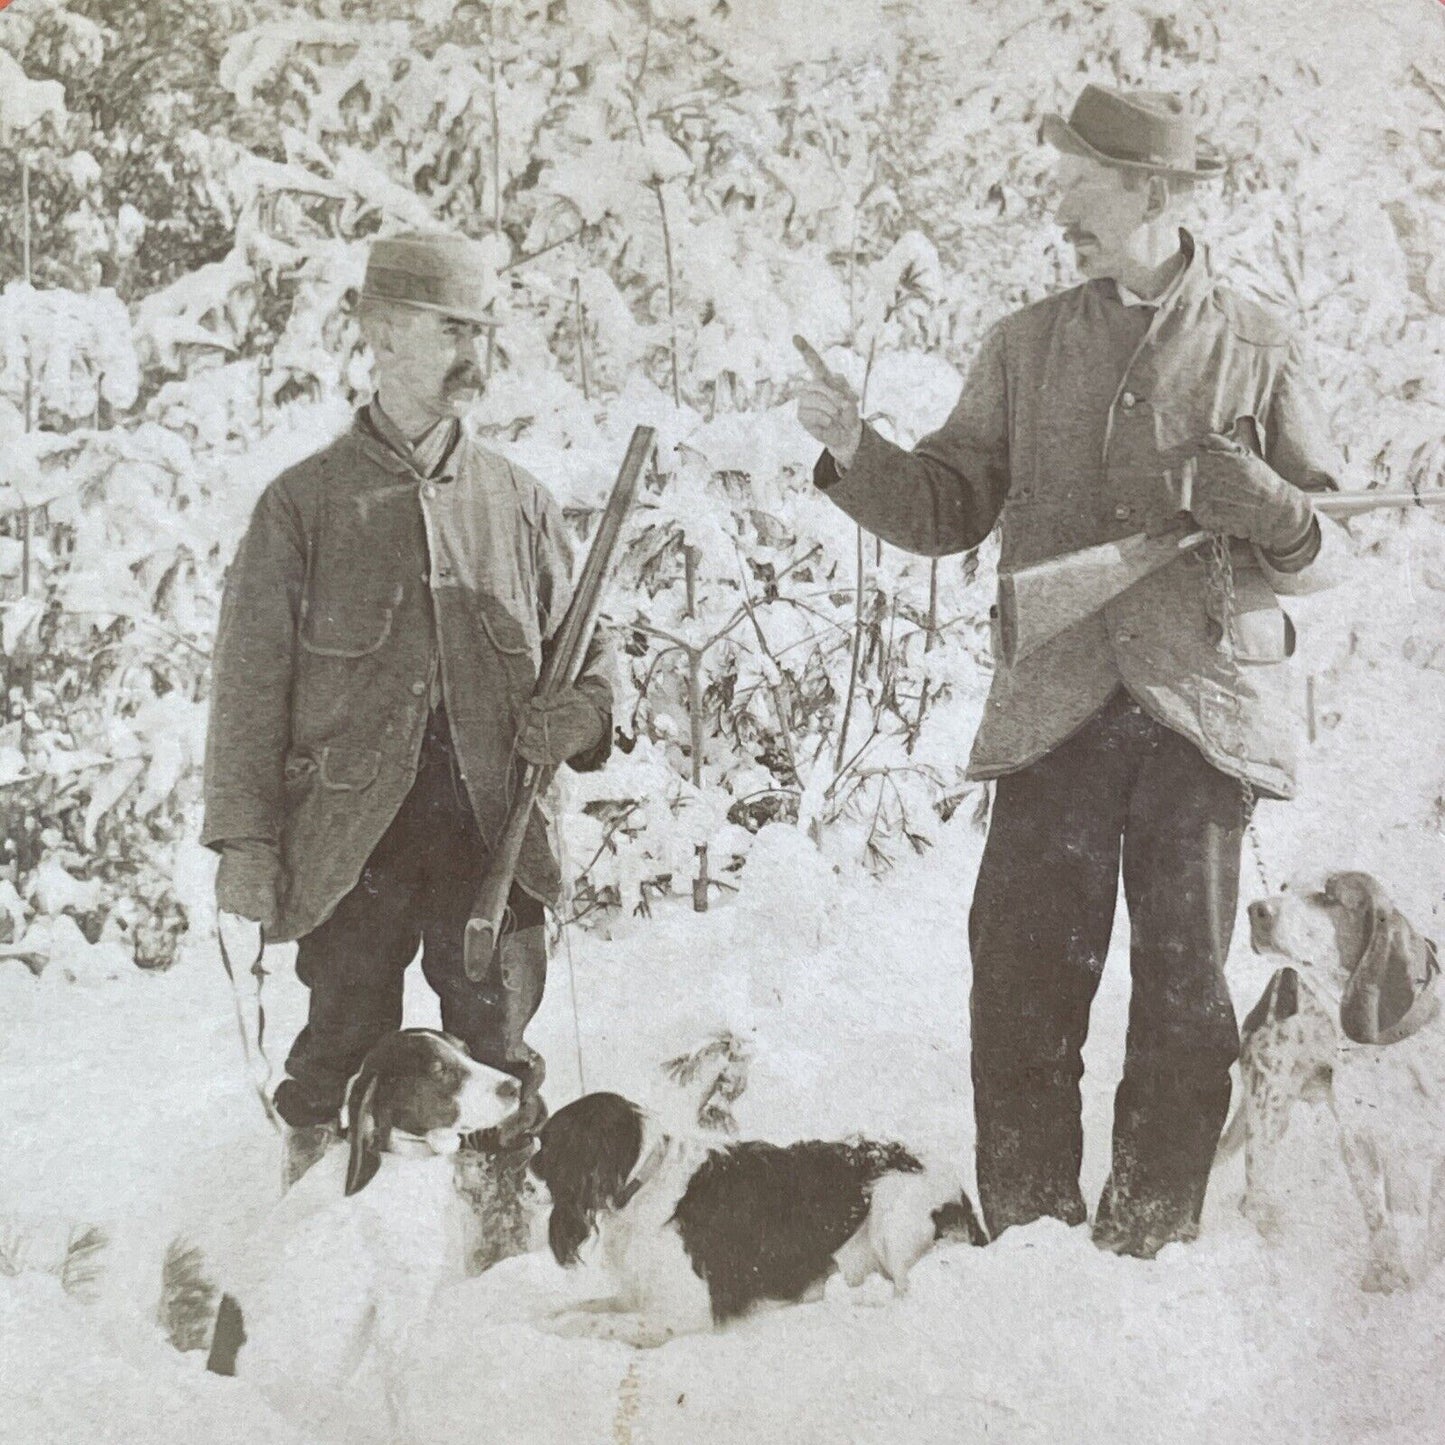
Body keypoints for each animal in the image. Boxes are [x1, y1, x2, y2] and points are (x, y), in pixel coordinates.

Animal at [203, 1034, 520, 1439]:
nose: (515, 1086)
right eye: (439, 1070)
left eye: (465, 1049)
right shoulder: (399, 1312)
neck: (396, 1159)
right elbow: (401, 1399)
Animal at [531, 1086, 994, 1346]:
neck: (644, 1181)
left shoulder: (685, 1311)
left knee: (903, 1291)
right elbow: (587, 1305)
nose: (523, 1180)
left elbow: (593, 1321)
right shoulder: (639, 1295)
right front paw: (546, 1313)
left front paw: (565, 1325)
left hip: (890, 1209)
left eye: (547, 1145)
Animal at [1231, 872, 1445, 1294]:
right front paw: (1385, 1276)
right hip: (1267, 1116)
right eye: (1284, 887)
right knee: (1254, 1200)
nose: (1256, 909)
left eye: (1328, 897)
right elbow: (1379, 1219)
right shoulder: (1358, 1141)